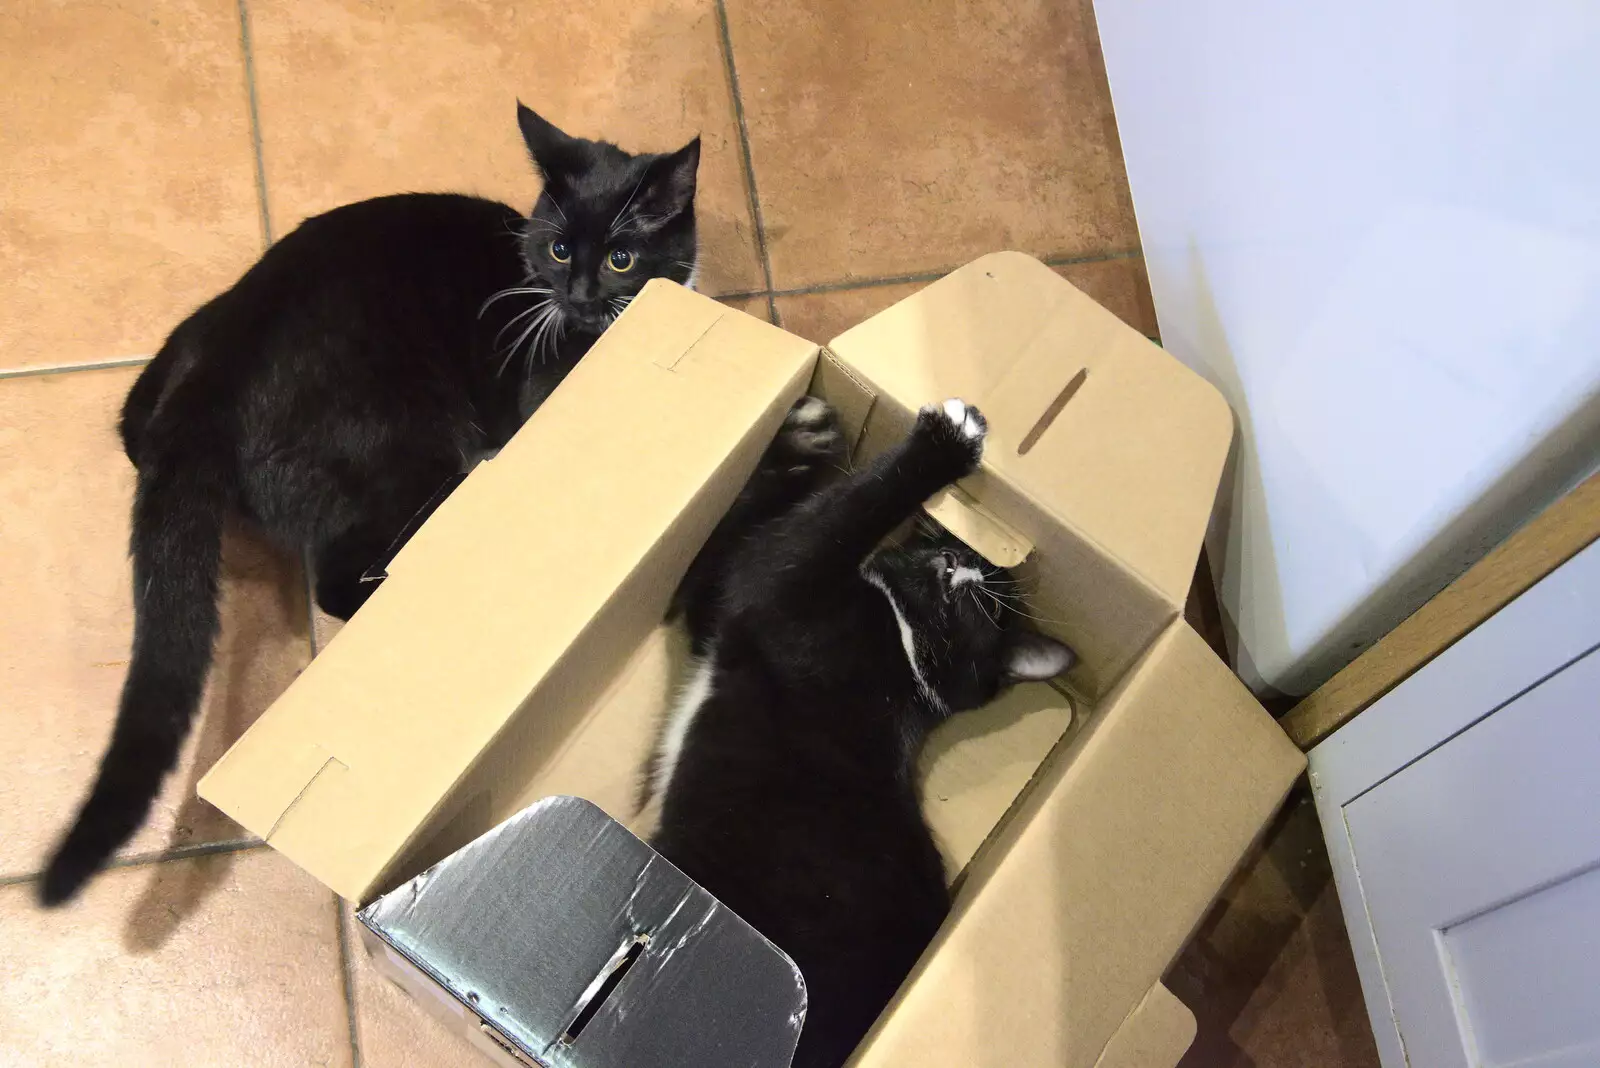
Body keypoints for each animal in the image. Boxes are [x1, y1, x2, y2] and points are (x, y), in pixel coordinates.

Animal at [36, 103, 700, 908]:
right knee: (337, 578)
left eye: (622, 258)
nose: (577, 295)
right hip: (405, 440)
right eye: (560, 247)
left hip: (171, 376)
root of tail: (218, 364)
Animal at [646, 396, 1075, 1068]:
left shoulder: (781, 587)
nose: (956, 558)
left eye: (984, 606)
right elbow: (752, 530)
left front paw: (948, 441)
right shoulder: (733, 599)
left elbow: (832, 518)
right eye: (960, 552)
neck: (905, 649)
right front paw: (810, 434)